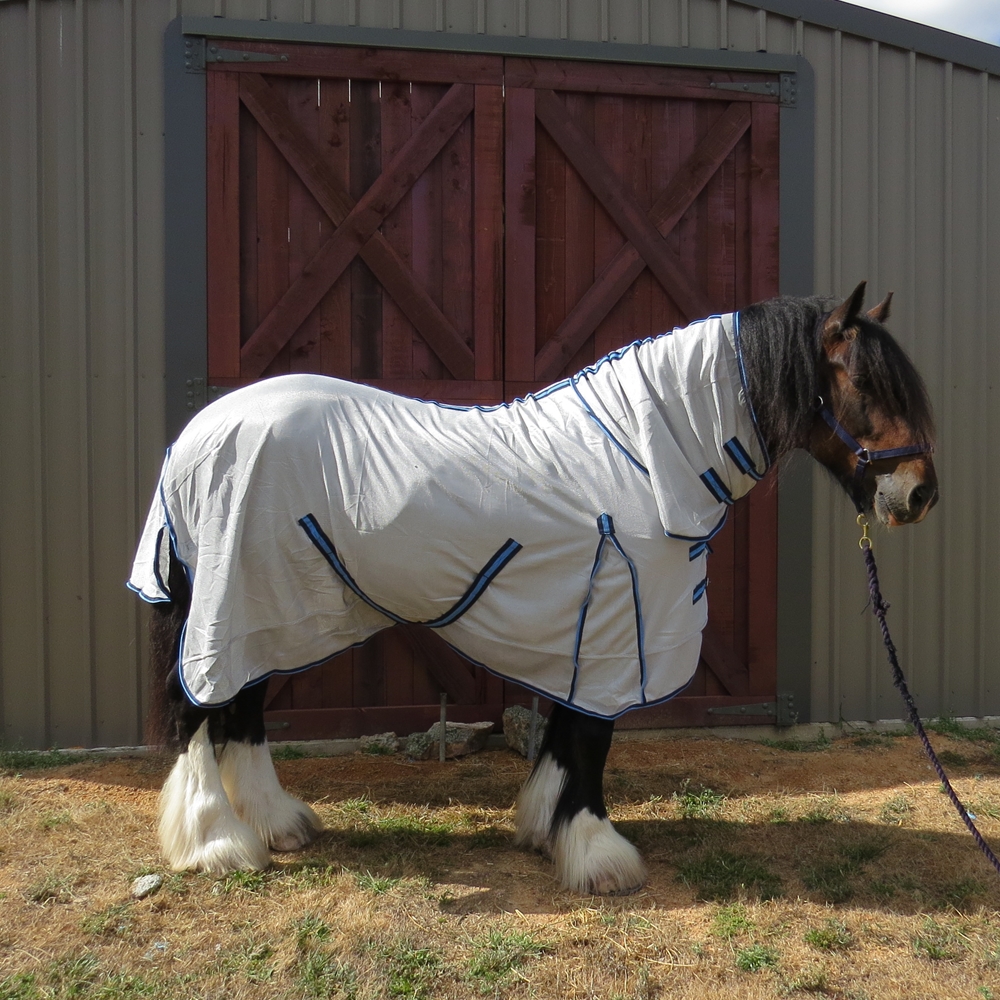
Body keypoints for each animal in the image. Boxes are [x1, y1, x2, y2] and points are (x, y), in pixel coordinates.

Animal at [131, 281, 937, 896]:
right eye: (865, 384)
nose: (919, 494)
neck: (644, 455)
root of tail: (196, 436)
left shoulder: (581, 626)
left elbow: (565, 732)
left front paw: (547, 827)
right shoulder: (617, 626)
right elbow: (591, 740)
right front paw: (598, 855)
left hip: (269, 610)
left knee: (242, 708)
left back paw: (276, 823)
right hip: (231, 604)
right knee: (202, 708)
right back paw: (218, 843)